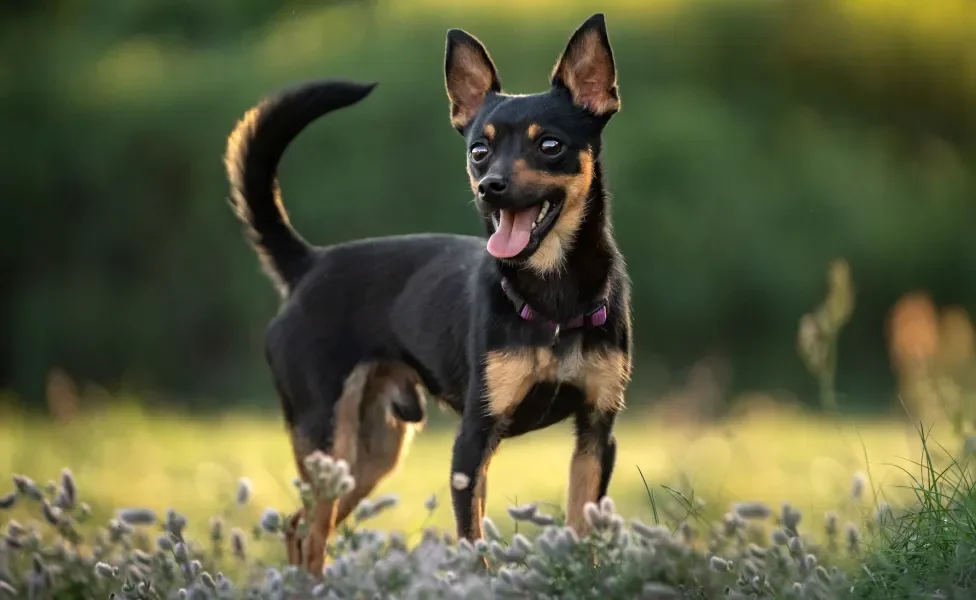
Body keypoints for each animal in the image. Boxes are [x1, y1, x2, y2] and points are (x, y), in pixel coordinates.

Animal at [222, 14, 632, 576]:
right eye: (479, 152)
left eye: (549, 146)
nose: (490, 186)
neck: (553, 291)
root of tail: (310, 264)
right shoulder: (474, 440)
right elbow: (473, 543)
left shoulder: (596, 434)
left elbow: (583, 531)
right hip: (328, 438)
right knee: (310, 530)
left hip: (372, 453)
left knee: (299, 525)